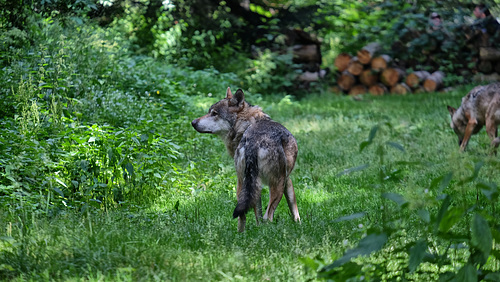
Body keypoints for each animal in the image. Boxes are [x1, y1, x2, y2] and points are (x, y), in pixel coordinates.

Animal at [191, 87, 300, 232]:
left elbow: (258, 213)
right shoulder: (287, 180)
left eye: (214, 113)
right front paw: (299, 224)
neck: (246, 125)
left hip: (241, 186)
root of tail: (254, 141)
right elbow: (294, 207)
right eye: (210, 112)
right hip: (276, 185)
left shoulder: (254, 185)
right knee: (267, 216)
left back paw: (242, 235)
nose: (193, 122)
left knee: (242, 215)